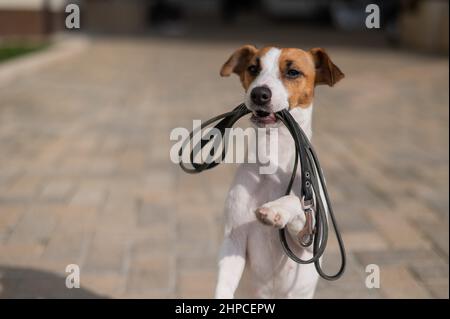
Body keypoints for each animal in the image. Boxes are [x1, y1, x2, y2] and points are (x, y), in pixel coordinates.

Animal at [214, 43, 344, 298]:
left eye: (293, 72)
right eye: (253, 68)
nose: (259, 94)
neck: (273, 160)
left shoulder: (309, 239)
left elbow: (296, 203)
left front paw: (276, 210)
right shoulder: (234, 239)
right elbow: (224, 283)